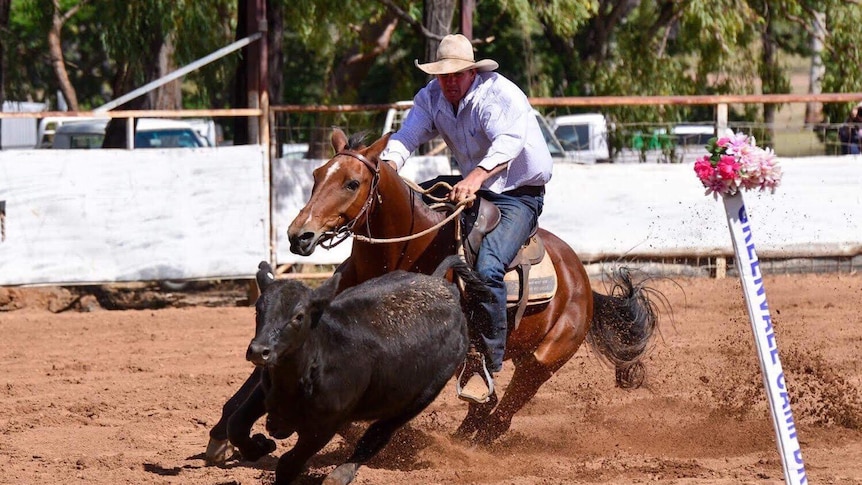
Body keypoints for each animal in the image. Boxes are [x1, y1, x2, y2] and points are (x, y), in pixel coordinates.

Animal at [286, 127, 660, 442]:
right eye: (317, 175)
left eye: (352, 183)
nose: (299, 234)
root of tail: (580, 276)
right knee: (485, 406)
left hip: (544, 359)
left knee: (502, 414)